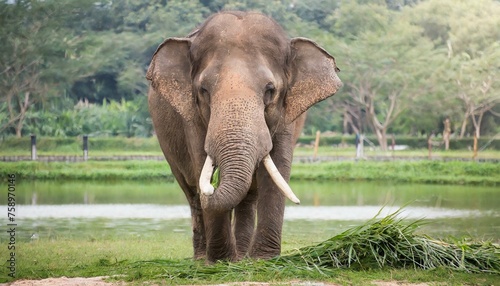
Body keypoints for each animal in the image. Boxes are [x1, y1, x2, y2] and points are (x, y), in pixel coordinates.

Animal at [145, 11, 340, 262]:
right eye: (203, 90)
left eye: (270, 90)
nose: (212, 187)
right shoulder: (191, 116)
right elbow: (200, 161)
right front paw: (221, 261)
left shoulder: (287, 116)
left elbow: (278, 165)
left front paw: (264, 259)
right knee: (191, 192)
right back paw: (204, 258)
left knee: (248, 196)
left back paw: (242, 256)